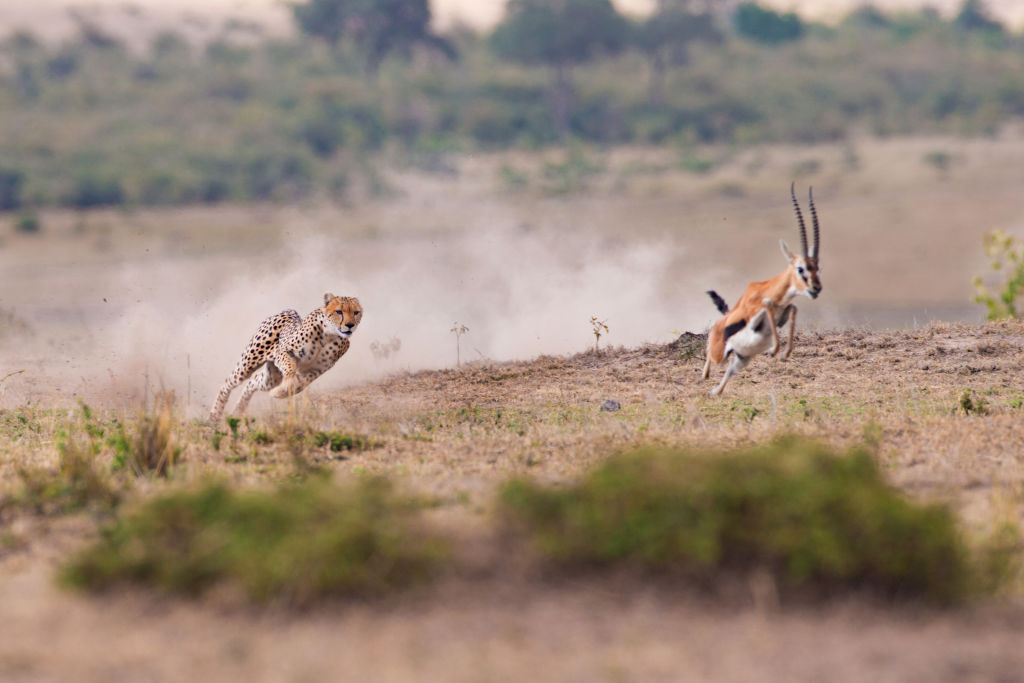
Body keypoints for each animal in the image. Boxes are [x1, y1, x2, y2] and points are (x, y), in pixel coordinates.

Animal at [207, 294, 364, 421]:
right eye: (339, 311)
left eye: (356, 312)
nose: (350, 325)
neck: (329, 335)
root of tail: (288, 311)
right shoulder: (283, 351)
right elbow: (290, 367)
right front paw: (288, 382)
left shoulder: (317, 370)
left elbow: (300, 384)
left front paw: (280, 392)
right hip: (249, 362)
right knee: (228, 382)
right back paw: (215, 414)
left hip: (271, 378)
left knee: (253, 381)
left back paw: (238, 410)